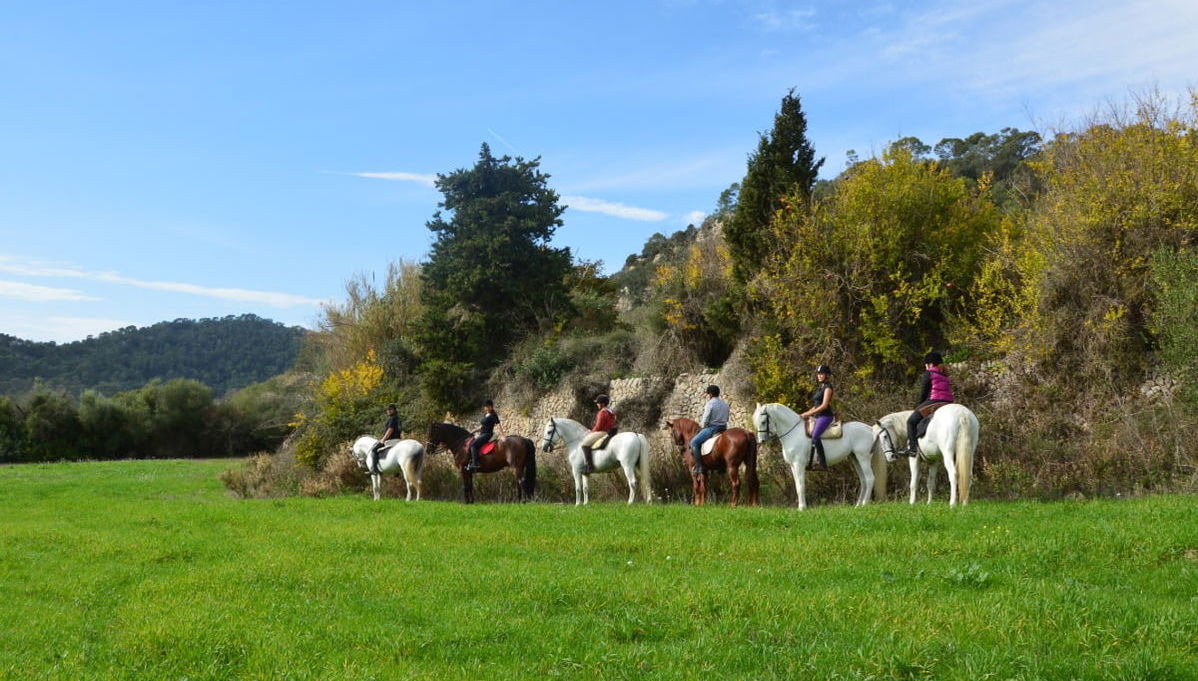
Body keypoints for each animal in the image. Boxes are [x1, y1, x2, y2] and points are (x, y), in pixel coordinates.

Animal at [750, 403, 881, 510]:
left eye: (763, 421)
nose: (761, 441)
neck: (793, 432)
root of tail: (870, 429)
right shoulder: (793, 466)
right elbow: (797, 485)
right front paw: (800, 507)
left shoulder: (799, 464)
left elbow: (801, 485)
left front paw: (802, 508)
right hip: (856, 458)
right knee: (863, 480)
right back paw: (858, 505)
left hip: (863, 458)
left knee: (870, 478)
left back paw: (865, 504)